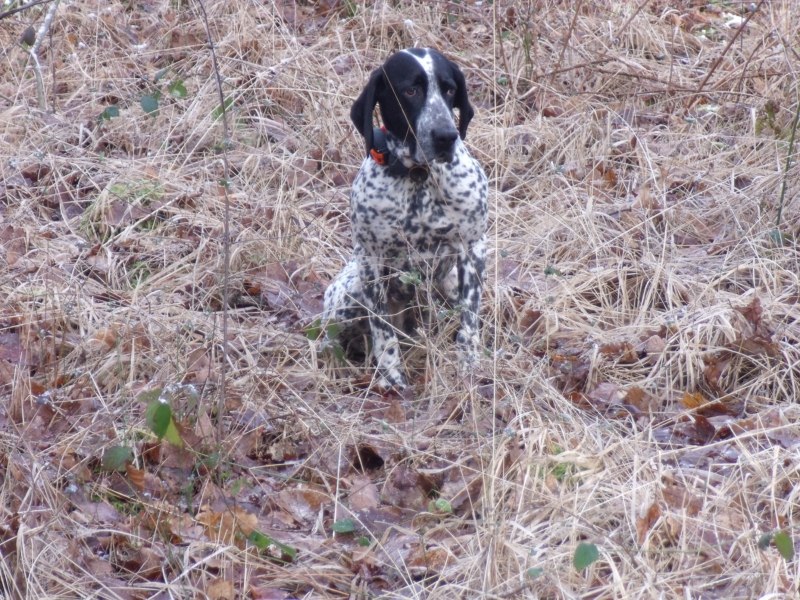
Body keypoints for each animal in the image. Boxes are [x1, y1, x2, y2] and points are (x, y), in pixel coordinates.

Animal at [324, 49, 488, 392]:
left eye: (450, 89)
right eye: (410, 91)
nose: (446, 136)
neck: (419, 177)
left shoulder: (473, 249)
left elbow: (469, 323)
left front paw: (468, 369)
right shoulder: (371, 260)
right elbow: (382, 330)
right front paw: (392, 378)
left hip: (447, 285)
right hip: (348, 295)